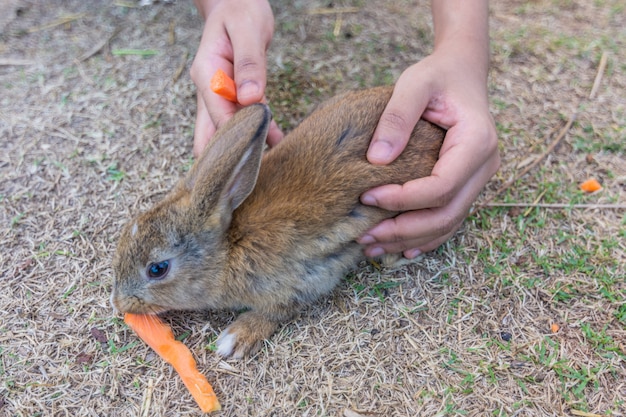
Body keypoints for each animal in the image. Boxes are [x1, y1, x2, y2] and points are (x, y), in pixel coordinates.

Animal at [112, 86, 444, 356]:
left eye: (157, 269)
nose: (120, 304)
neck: (229, 248)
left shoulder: (300, 280)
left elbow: (278, 311)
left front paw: (235, 338)